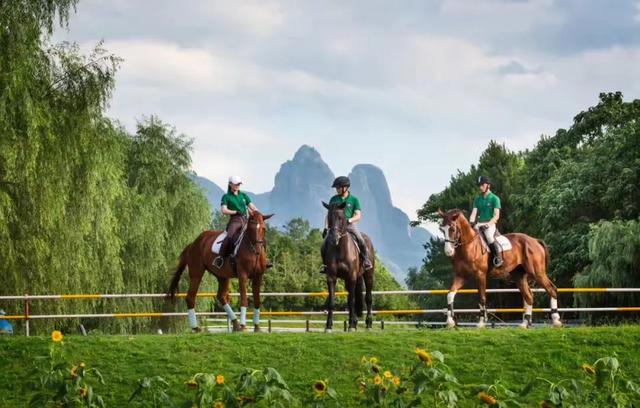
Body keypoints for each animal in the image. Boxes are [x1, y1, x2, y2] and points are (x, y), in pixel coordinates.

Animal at [320, 201, 376, 332]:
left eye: (341, 217)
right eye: (329, 218)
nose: (333, 238)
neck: (340, 249)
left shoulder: (351, 277)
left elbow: (351, 301)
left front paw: (350, 326)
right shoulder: (332, 277)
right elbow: (332, 301)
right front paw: (328, 326)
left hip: (368, 276)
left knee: (368, 298)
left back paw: (368, 324)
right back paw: (355, 322)